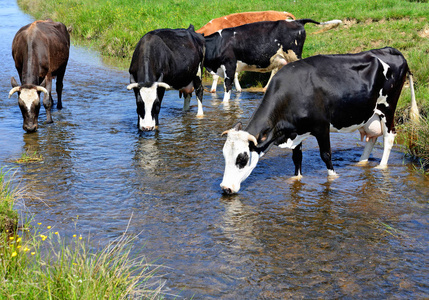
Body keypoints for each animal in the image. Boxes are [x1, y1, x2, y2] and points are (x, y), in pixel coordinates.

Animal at [219, 45, 416, 193]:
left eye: (242, 159)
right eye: (225, 156)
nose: (225, 188)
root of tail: (391, 49)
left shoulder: (321, 127)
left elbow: (326, 155)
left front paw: (334, 177)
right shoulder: (295, 130)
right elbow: (297, 159)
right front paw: (296, 179)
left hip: (387, 108)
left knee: (389, 136)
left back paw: (381, 167)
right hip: (369, 114)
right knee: (372, 138)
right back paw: (361, 163)